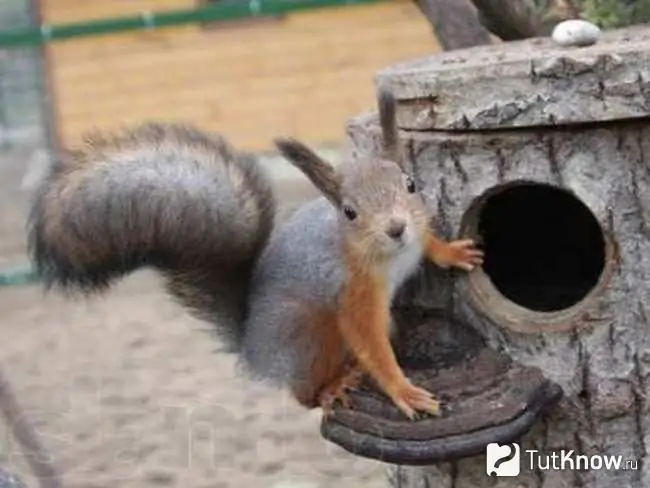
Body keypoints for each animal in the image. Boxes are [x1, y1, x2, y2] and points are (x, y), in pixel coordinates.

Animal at [27, 87, 484, 420]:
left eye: (410, 185)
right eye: (349, 212)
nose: (396, 227)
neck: (390, 255)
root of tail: (252, 348)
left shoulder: (417, 227)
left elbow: (428, 240)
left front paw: (453, 253)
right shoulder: (351, 291)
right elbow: (371, 344)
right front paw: (403, 391)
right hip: (307, 333)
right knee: (302, 395)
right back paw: (332, 387)